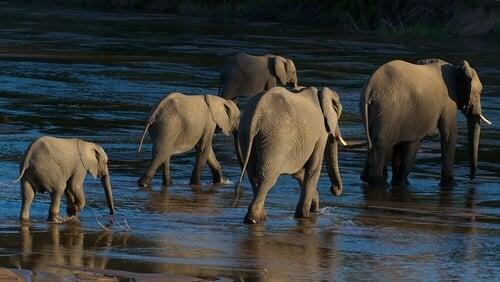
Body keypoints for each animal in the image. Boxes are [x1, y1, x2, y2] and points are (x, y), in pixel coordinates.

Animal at [236, 87, 346, 224]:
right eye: (338, 112)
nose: (333, 189)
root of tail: (256, 114)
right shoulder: (321, 134)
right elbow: (313, 169)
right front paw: (304, 216)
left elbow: (299, 172)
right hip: (277, 139)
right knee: (266, 178)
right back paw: (253, 219)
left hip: (245, 135)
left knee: (253, 175)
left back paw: (261, 217)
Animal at [362, 59, 490, 187]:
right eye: (479, 92)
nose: (471, 178)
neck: (457, 68)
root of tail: (370, 88)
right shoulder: (448, 101)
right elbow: (450, 136)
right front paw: (452, 185)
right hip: (388, 110)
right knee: (382, 145)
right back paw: (379, 183)